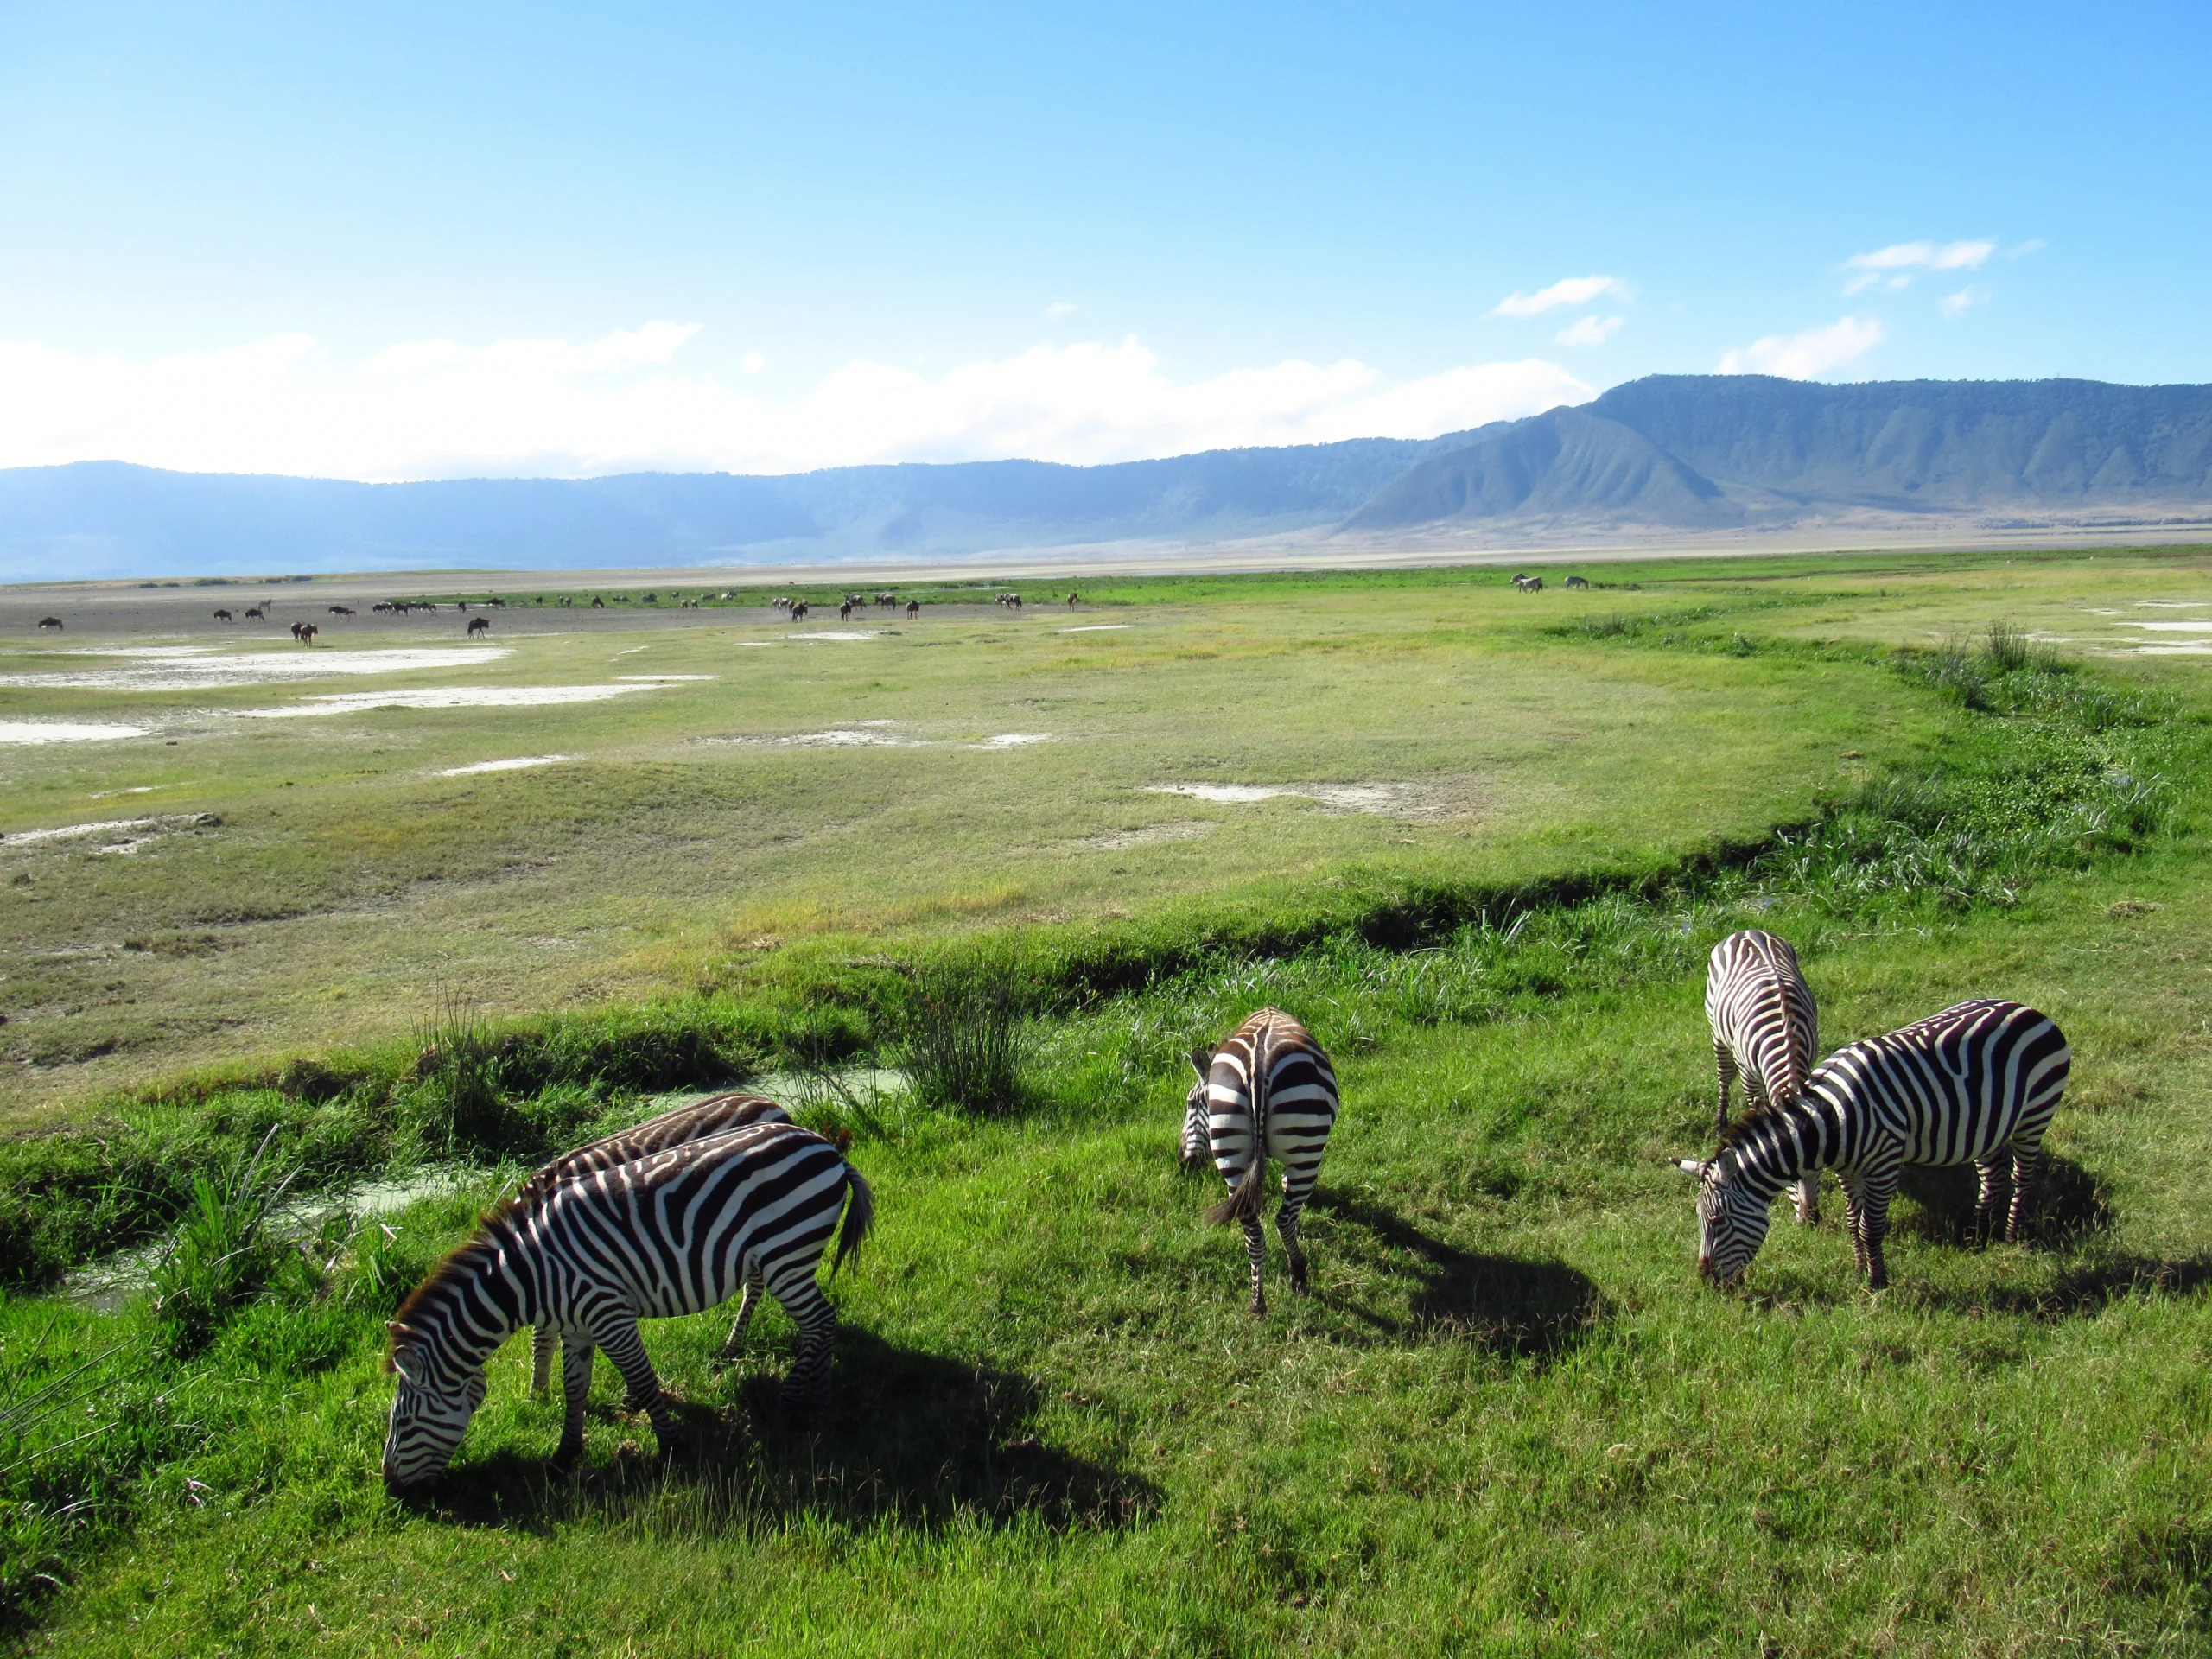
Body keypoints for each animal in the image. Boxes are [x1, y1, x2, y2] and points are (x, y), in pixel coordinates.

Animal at [1185, 1008, 1336, 1318]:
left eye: (1191, 1103)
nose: (1185, 1160)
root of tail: (1258, 1068)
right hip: (1307, 1150)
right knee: (1285, 1219)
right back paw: (1299, 1275)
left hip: (1231, 1152)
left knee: (1254, 1232)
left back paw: (1258, 1302)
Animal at [1681, 1000, 2061, 1300]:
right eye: (1700, 1219)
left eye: (1717, 1221)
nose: (1707, 1281)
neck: (1830, 1121)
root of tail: (2027, 1009)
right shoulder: (1848, 1170)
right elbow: (1853, 1223)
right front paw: (1858, 1269)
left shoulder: (1883, 1165)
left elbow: (1870, 1228)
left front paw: (1877, 1283)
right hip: (1987, 1125)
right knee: (1993, 1172)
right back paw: (1978, 1235)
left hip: (2034, 1116)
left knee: (2022, 1176)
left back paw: (2011, 1236)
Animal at [1699, 929, 1822, 1230]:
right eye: (1790, 1173)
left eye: (1820, 1168)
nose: (1810, 1222)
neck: (1786, 1036)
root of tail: (1747, 931)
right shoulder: (1748, 1073)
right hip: (1718, 1034)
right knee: (1724, 1077)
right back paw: (1720, 1122)